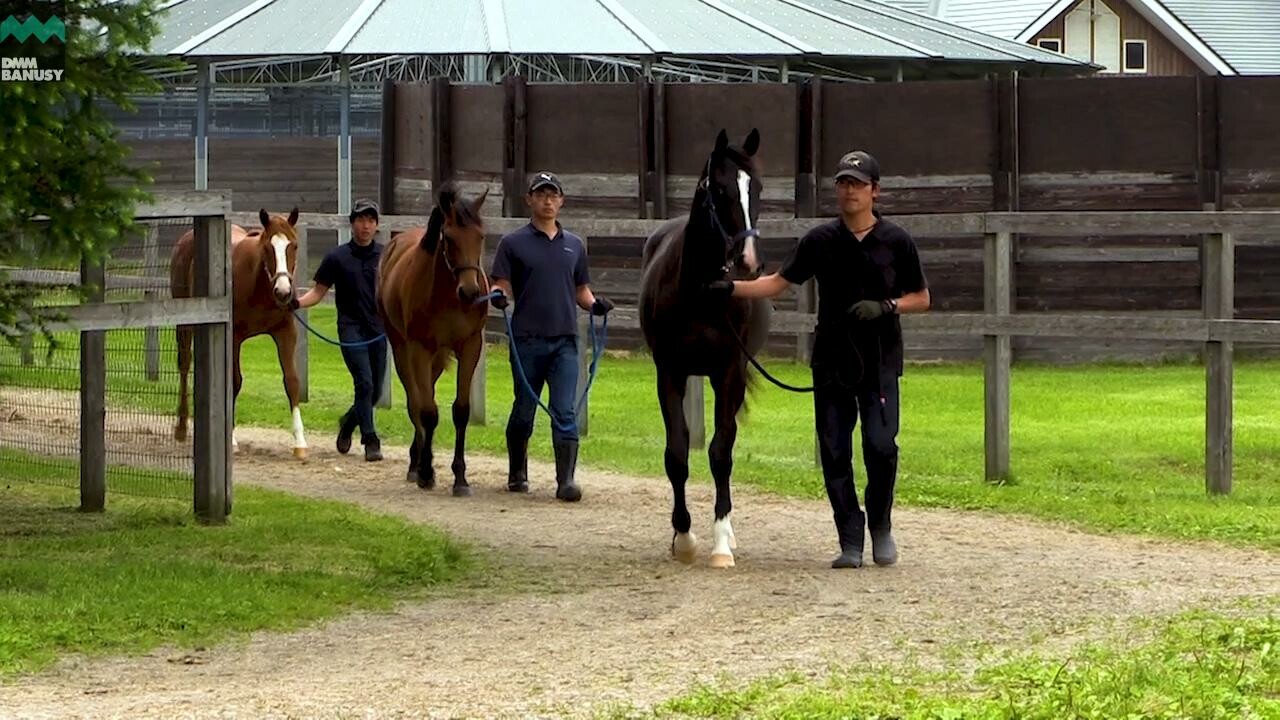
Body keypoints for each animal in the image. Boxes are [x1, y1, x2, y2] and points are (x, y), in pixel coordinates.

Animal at [171, 206, 308, 453]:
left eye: (293, 245)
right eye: (268, 248)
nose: (283, 292)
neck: (259, 285)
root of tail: (185, 240)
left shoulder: (285, 332)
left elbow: (292, 381)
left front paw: (300, 443)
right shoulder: (234, 337)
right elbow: (234, 382)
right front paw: (231, 439)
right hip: (185, 323)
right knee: (185, 364)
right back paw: (182, 427)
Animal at [378, 181, 488, 497]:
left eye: (480, 236)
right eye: (449, 238)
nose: (470, 292)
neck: (447, 294)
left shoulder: (470, 346)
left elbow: (461, 410)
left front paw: (460, 478)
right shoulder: (419, 349)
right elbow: (427, 411)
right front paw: (426, 472)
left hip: (437, 358)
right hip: (402, 350)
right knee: (415, 401)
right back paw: (416, 465)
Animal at [640, 128, 768, 566]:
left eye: (756, 188)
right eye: (721, 188)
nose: (748, 262)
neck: (700, 291)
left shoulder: (728, 372)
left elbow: (720, 453)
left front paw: (720, 543)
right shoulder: (669, 373)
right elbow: (677, 453)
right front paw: (683, 537)